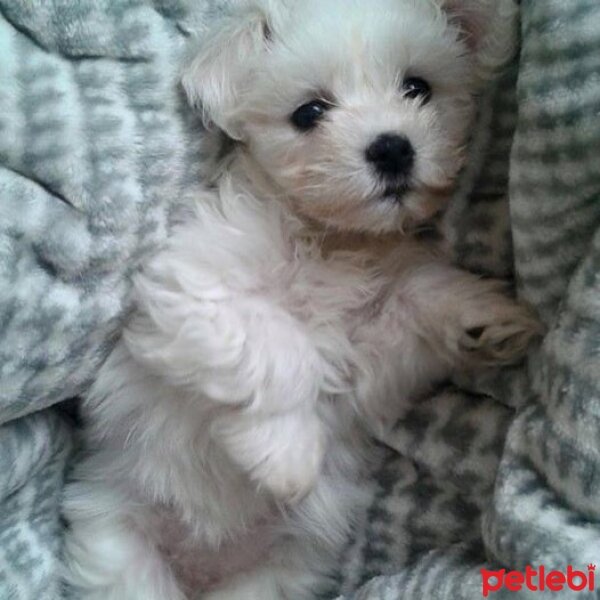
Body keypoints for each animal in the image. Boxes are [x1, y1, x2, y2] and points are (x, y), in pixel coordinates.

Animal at [63, 1, 536, 600]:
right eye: (309, 113)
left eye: (417, 87)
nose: (392, 147)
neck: (328, 239)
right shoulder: (193, 286)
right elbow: (281, 345)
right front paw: (287, 454)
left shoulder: (371, 360)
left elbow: (412, 302)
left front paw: (482, 315)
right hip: (119, 544)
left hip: (277, 574)